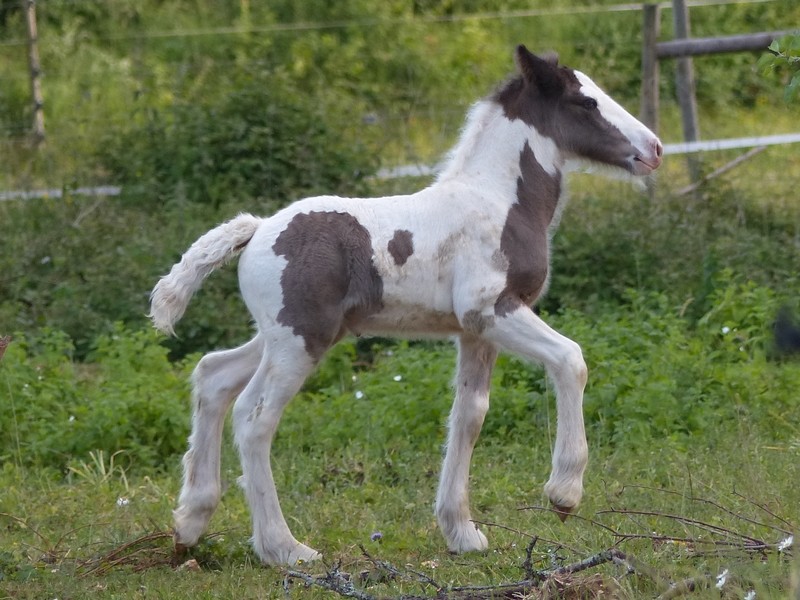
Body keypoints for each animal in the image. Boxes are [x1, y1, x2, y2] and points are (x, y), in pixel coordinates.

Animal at [150, 47, 664, 568]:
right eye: (585, 101)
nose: (655, 149)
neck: (498, 202)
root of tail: (256, 229)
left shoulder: (474, 332)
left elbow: (469, 414)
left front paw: (461, 532)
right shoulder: (491, 310)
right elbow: (570, 360)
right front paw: (564, 492)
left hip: (284, 335)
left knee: (213, 376)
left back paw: (190, 524)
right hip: (299, 341)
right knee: (254, 419)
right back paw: (285, 548)